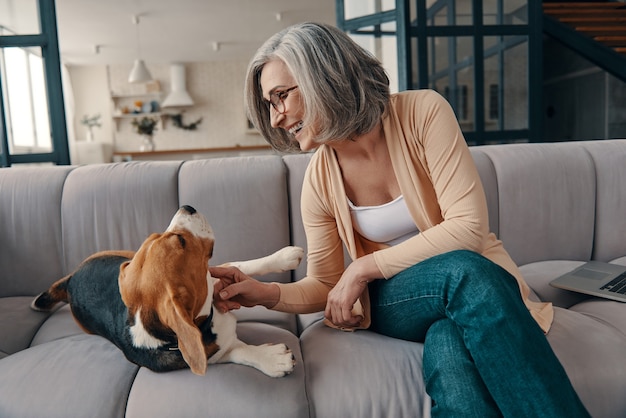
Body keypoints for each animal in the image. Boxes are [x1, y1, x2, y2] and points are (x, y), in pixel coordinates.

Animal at [31, 204, 302, 378]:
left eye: (158, 235)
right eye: (180, 241)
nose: (187, 206)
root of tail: (71, 279)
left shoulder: (214, 276)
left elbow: (239, 265)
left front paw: (284, 256)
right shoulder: (211, 354)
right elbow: (238, 352)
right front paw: (273, 359)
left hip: (124, 257)